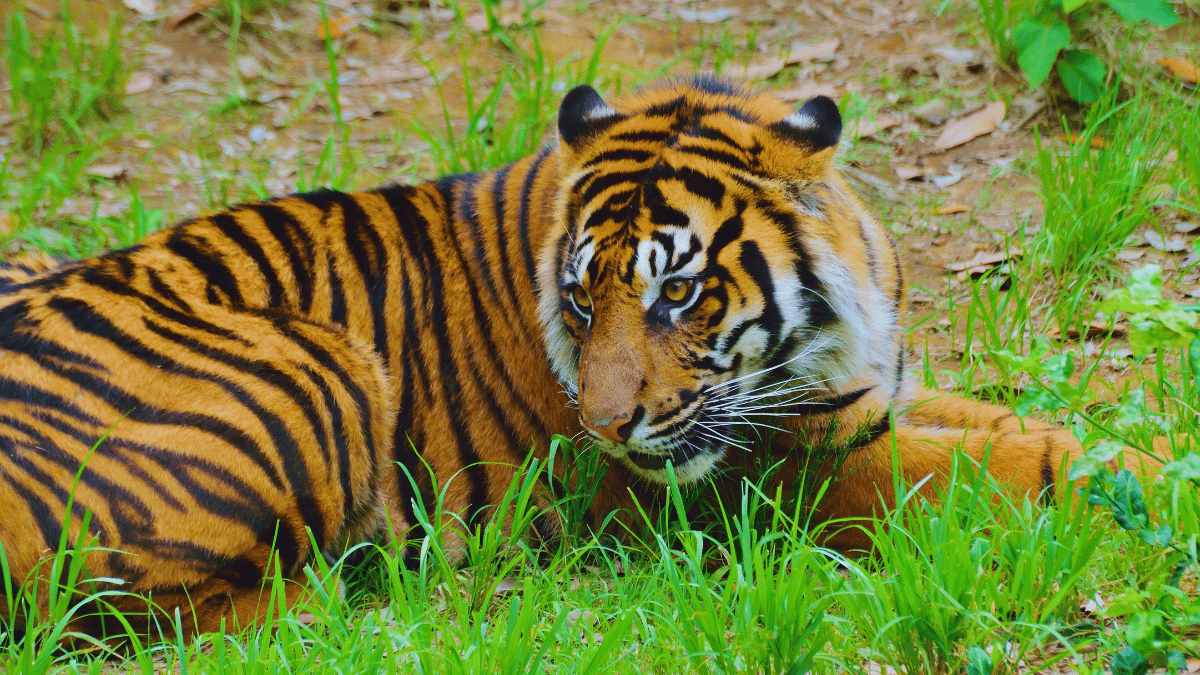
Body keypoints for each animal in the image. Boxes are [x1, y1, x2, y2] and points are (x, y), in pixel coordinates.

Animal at [0, 77, 1157, 639]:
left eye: (677, 292)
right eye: (577, 299)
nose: (606, 428)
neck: (830, 337)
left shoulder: (871, 399)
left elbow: (1020, 426)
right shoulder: (794, 467)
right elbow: (1001, 467)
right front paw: (1146, 493)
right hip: (319, 362)